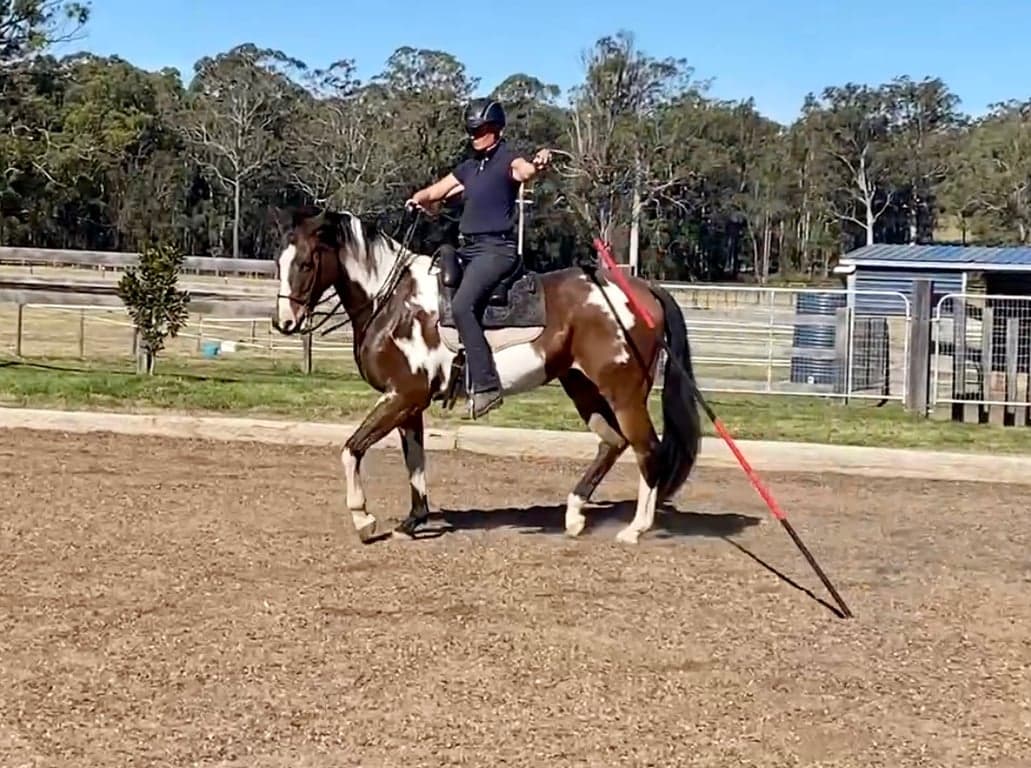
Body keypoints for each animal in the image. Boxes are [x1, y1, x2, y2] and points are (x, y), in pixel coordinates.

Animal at [273, 206, 702, 544]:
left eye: (306, 263)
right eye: (279, 263)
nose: (284, 322)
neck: (394, 302)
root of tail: (641, 288)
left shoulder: (402, 396)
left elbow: (352, 449)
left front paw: (364, 519)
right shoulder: (409, 404)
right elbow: (415, 461)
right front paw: (414, 521)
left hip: (624, 392)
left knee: (647, 448)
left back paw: (635, 529)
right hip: (581, 385)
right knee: (612, 442)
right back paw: (575, 514)